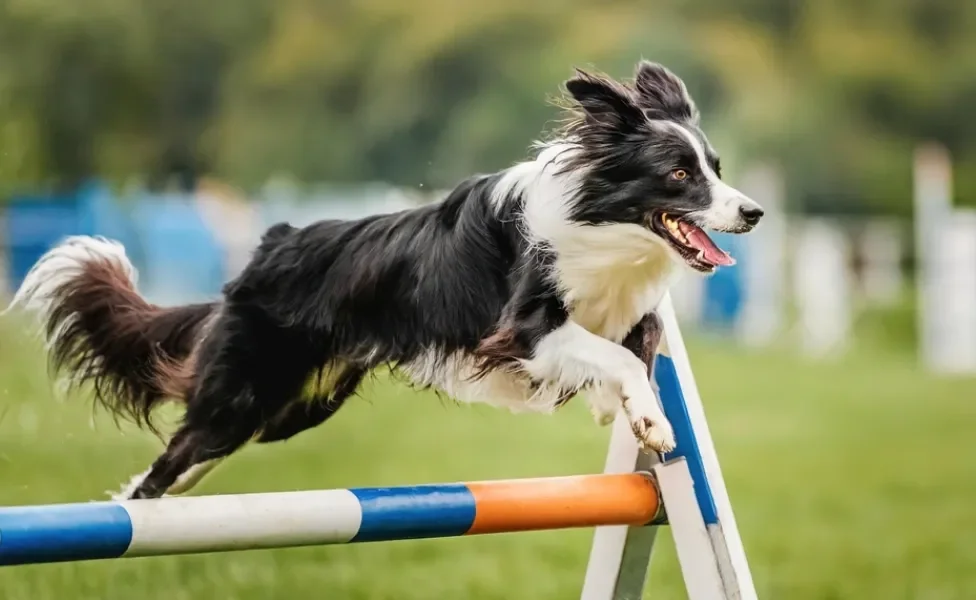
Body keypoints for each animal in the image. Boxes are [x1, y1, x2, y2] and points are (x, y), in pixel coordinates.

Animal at [5, 62, 764, 502]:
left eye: (717, 168)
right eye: (679, 174)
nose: (753, 212)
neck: (606, 225)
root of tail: (267, 250)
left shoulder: (621, 310)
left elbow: (643, 339)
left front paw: (622, 410)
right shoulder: (524, 327)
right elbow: (614, 354)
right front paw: (646, 419)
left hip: (292, 409)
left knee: (185, 463)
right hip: (242, 396)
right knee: (167, 465)